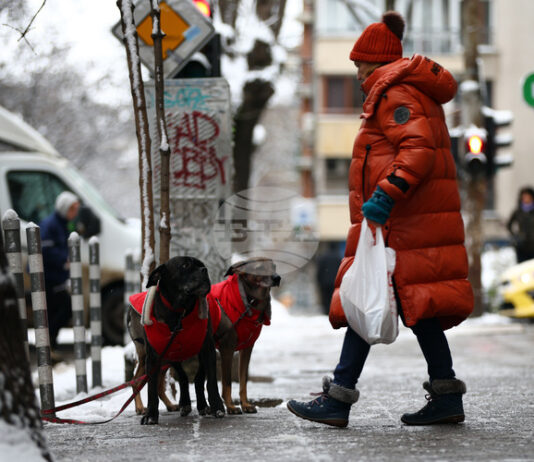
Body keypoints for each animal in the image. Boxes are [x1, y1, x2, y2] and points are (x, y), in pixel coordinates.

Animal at [127, 256, 225, 424]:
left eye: (201, 265)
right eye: (185, 265)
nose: (204, 270)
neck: (179, 311)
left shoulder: (207, 348)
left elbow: (210, 381)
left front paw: (217, 407)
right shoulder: (156, 356)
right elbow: (153, 387)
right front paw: (151, 415)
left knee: (195, 378)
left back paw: (197, 404)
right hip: (162, 357)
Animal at [174, 257, 281, 415]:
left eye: (274, 266)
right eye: (259, 268)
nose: (277, 278)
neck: (248, 302)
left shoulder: (247, 348)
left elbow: (243, 380)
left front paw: (245, 404)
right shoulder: (227, 349)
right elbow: (227, 382)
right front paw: (230, 406)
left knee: (198, 379)